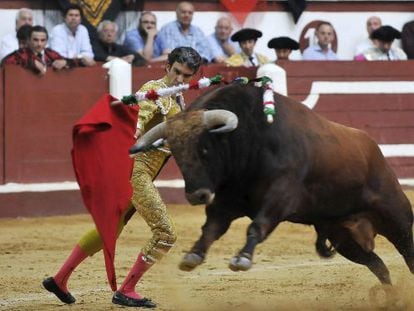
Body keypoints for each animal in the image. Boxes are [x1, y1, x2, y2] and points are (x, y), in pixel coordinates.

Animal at [130, 81, 414, 288]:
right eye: (177, 154)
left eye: (205, 148)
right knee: (379, 267)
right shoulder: (226, 202)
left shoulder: (280, 197)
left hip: (396, 217)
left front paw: (242, 259)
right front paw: (193, 255)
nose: (196, 195)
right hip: (345, 238)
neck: (251, 140)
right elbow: (211, 228)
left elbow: (257, 226)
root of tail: (375, 150)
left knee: (407, 251)